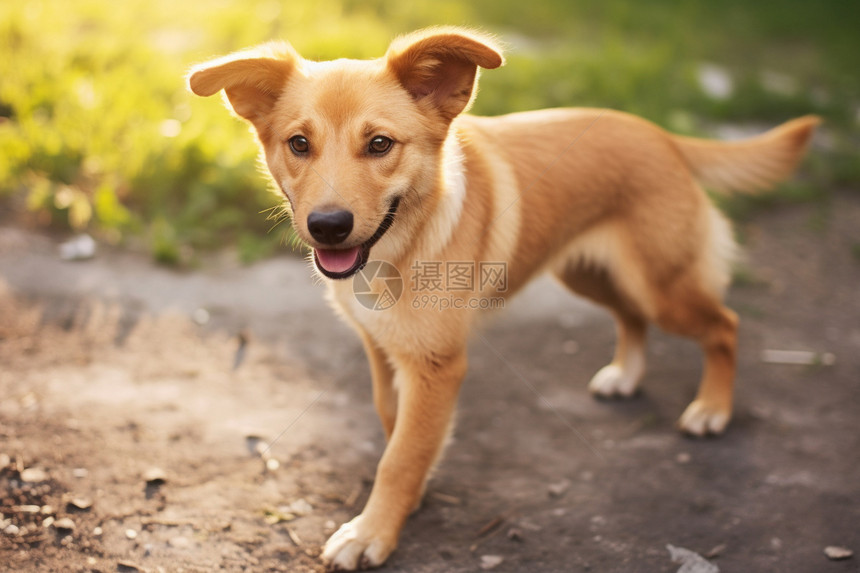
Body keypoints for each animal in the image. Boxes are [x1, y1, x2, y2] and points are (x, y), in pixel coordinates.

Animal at [190, 25, 820, 568]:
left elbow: (400, 458)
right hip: (590, 275)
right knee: (631, 316)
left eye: (379, 144)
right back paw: (626, 373)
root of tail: (659, 134)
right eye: (299, 144)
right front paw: (408, 497)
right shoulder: (382, 350)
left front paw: (373, 531)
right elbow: (396, 427)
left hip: (661, 284)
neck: (404, 244)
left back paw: (712, 408)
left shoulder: (437, 367)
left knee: (724, 324)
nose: (326, 226)